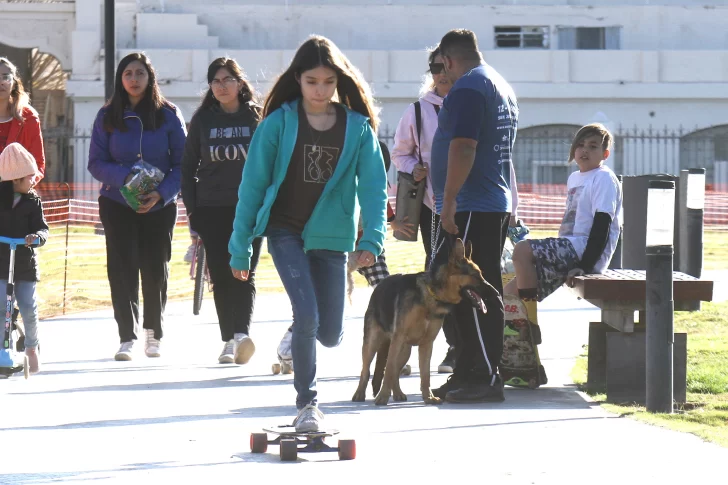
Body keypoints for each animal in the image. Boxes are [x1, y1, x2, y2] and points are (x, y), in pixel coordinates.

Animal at [352, 238, 494, 404]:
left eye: (481, 275)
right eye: (476, 276)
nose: (496, 293)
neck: (431, 295)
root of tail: (379, 286)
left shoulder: (427, 344)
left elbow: (425, 375)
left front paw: (428, 397)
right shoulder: (398, 339)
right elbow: (388, 371)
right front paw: (382, 397)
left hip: (404, 350)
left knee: (395, 371)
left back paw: (398, 393)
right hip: (373, 344)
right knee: (367, 370)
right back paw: (359, 394)